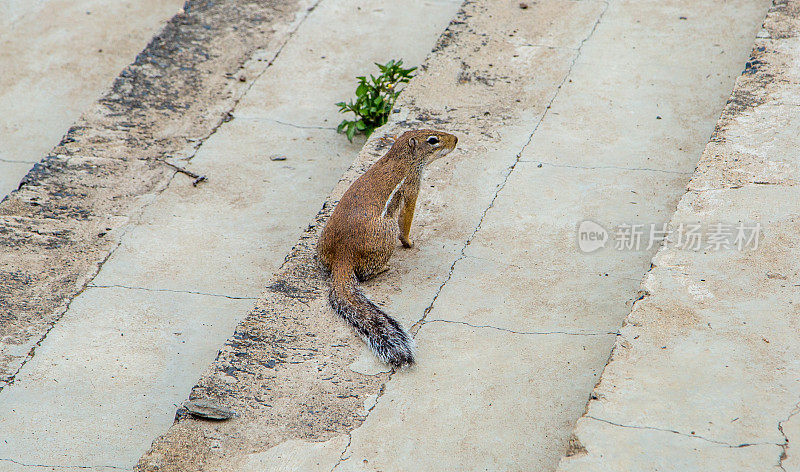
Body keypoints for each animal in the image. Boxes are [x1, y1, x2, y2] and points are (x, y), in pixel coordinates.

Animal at [318, 130, 456, 368]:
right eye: (433, 140)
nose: (456, 139)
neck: (400, 157)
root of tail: (342, 255)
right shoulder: (412, 187)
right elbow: (406, 220)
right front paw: (409, 242)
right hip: (386, 233)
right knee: (366, 272)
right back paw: (384, 267)